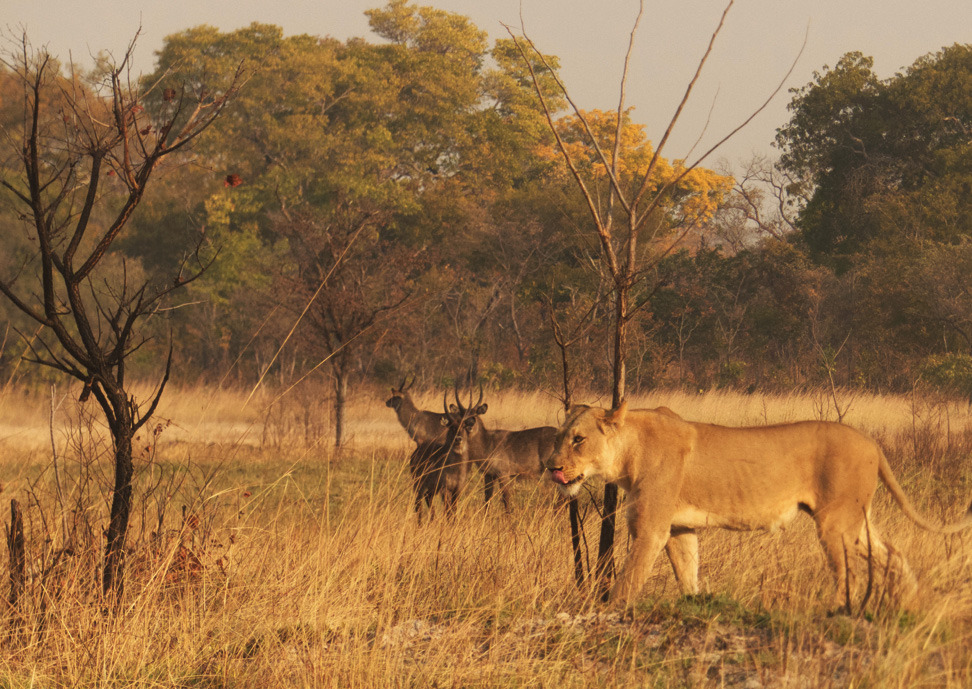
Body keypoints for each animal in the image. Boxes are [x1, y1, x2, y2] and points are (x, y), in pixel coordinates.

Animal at [545, 403, 972, 609]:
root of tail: (872, 442)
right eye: (558, 437)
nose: (552, 467)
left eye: (579, 440)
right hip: (855, 521)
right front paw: (696, 603)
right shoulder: (681, 527)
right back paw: (909, 605)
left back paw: (836, 611)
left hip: (835, 523)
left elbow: (630, 578)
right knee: (892, 553)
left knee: (847, 573)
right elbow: (688, 572)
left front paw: (608, 611)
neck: (628, 451)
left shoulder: (651, 528)